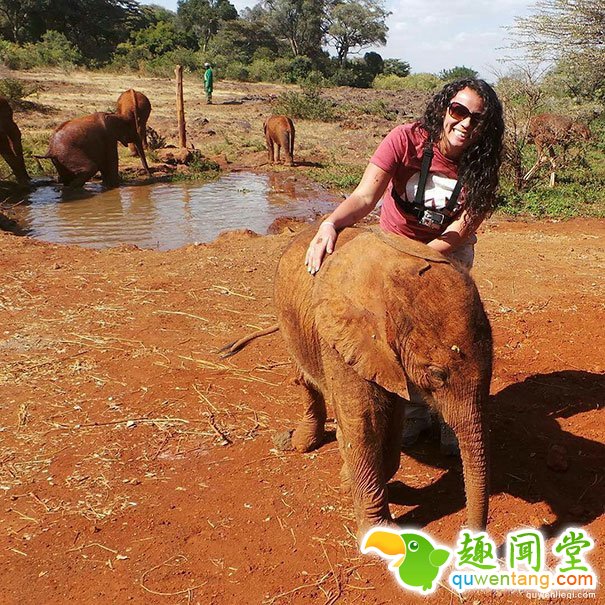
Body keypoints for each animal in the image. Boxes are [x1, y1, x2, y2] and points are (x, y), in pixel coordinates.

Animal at [224, 226, 494, 536]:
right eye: (437, 375)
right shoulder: (340, 339)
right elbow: (365, 420)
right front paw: (379, 531)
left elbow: (391, 417)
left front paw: (354, 481)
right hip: (289, 319)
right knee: (305, 379)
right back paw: (300, 442)